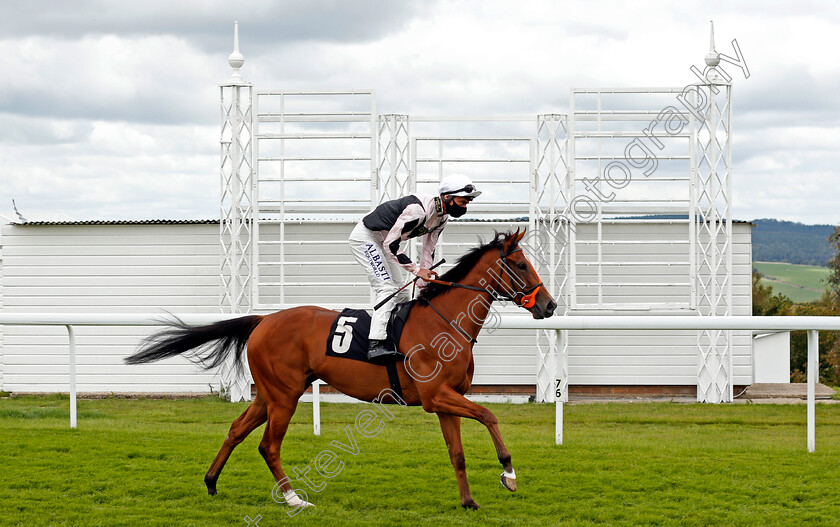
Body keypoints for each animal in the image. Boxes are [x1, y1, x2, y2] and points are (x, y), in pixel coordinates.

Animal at [124, 231, 556, 512]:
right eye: (520, 264)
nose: (549, 305)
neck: (444, 322)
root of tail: (263, 320)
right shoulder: (437, 397)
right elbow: (489, 414)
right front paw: (508, 473)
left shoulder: (446, 401)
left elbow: (458, 453)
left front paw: (468, 501)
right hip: (284, 396)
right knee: (269, 445)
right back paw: (294, 497)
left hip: (270, 394)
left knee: (236, 429)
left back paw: (212, 482)